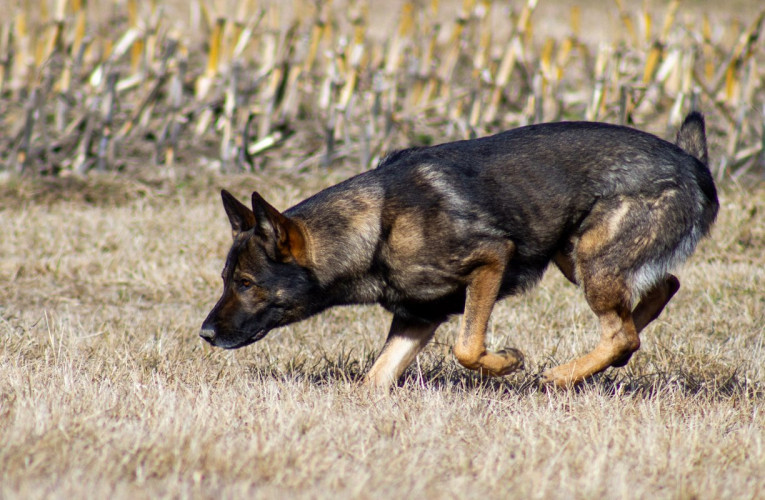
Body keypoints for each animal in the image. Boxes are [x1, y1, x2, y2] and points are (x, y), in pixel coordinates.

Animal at [200, 112, 718, 389]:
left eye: (246, 283)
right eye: (226, 281)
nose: (204, 334)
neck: (377, 227)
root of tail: (693, 162)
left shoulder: (491, 259)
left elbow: (467, 346)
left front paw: (508, 362)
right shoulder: (416, 318)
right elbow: (374, 380)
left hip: (593, 261)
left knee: (623, 332)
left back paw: (560, 376)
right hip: (575, 256)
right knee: (658, 294)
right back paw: (603, 363)